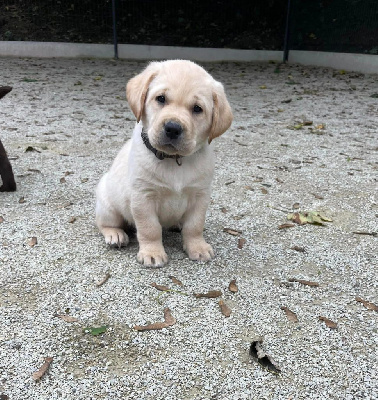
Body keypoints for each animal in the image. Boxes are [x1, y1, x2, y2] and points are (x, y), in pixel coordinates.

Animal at [96, 60, 232, 266]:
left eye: (197, 109)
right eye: (161, 98)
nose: (173, 128)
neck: (173, 159)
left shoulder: (200, 195)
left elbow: (195, 226)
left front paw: (197, 247)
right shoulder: (143, 196)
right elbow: (150, 228)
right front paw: (152, 252)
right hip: (107, 204)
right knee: (105, 223)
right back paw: (115, 235)